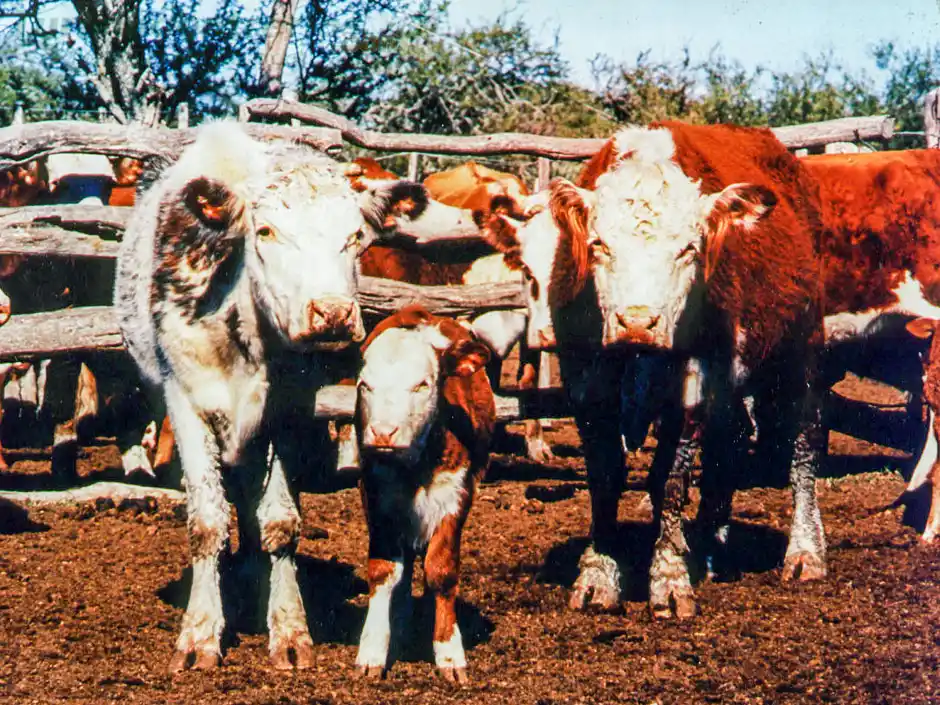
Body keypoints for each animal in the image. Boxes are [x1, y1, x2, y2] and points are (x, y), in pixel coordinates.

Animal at [113, 122, 461, 672]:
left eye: (355, 237)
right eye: (267, 232)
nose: (333, 313)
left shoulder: (291, 412)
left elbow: (280, 522)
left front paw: (289, 628)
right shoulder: (185, 403)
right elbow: (206, 522)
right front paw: (200, 632)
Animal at [354, 306, 494, 685]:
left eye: (422, 384)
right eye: (364, 385)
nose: (383, 432)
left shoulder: (456, 495)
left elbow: (441, 571)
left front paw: (449, 652)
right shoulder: (377, 496)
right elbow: (384, 571)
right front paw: (373, 648)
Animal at [482, 123, 828, 619]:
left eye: (688, 249)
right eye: (599, 245)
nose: (638, 322)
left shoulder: (694, 381)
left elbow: (669, 479)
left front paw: (669, 579)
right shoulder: (587, 384)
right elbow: (605, 476)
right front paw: (598, 574)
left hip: (801, 349)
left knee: (802, 442)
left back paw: (804, 553)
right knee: (730, 441)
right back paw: (711, 545)